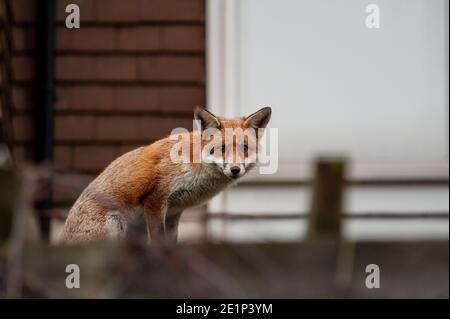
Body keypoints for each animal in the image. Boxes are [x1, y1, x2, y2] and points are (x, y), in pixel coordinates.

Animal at [59, 106, 270, 244]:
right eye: (222, 148)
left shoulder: (174, 212)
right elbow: (158, 242)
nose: (235, 169)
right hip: (116, 227)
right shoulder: (155, 200)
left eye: (244, 148)